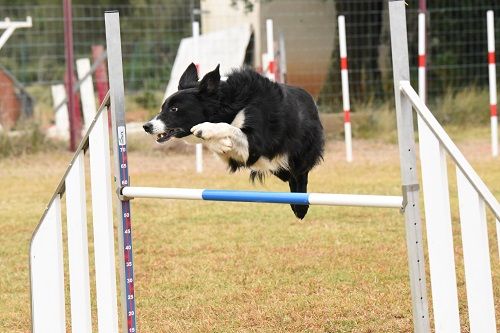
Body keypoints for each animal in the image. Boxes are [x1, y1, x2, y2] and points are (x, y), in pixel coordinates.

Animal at [144, 63, 324, 218]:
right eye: (162, 108)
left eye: (174, 109)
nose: (147, 126)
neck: (229, 104)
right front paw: (219, 143)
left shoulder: (257, 143)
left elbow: (230, 128)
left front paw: (206, 129)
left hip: (298, 155)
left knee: (299, 175)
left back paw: (300, 207)